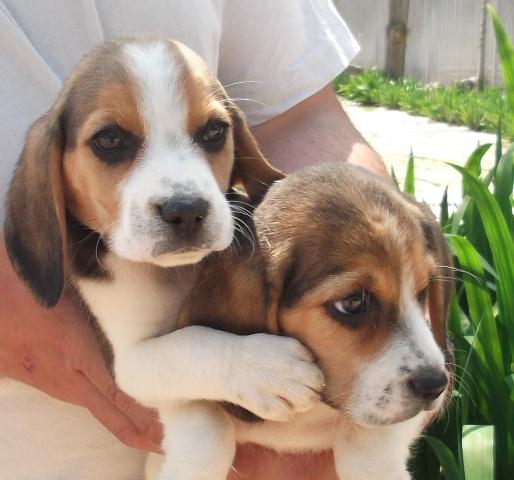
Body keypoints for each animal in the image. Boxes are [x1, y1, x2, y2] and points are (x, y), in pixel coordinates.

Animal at [5, 36, 324, 480]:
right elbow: (190, 346)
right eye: (109, 140)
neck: (175, 273)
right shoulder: (129, 361)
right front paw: (266, 368)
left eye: (214, 131)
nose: (186, 210)